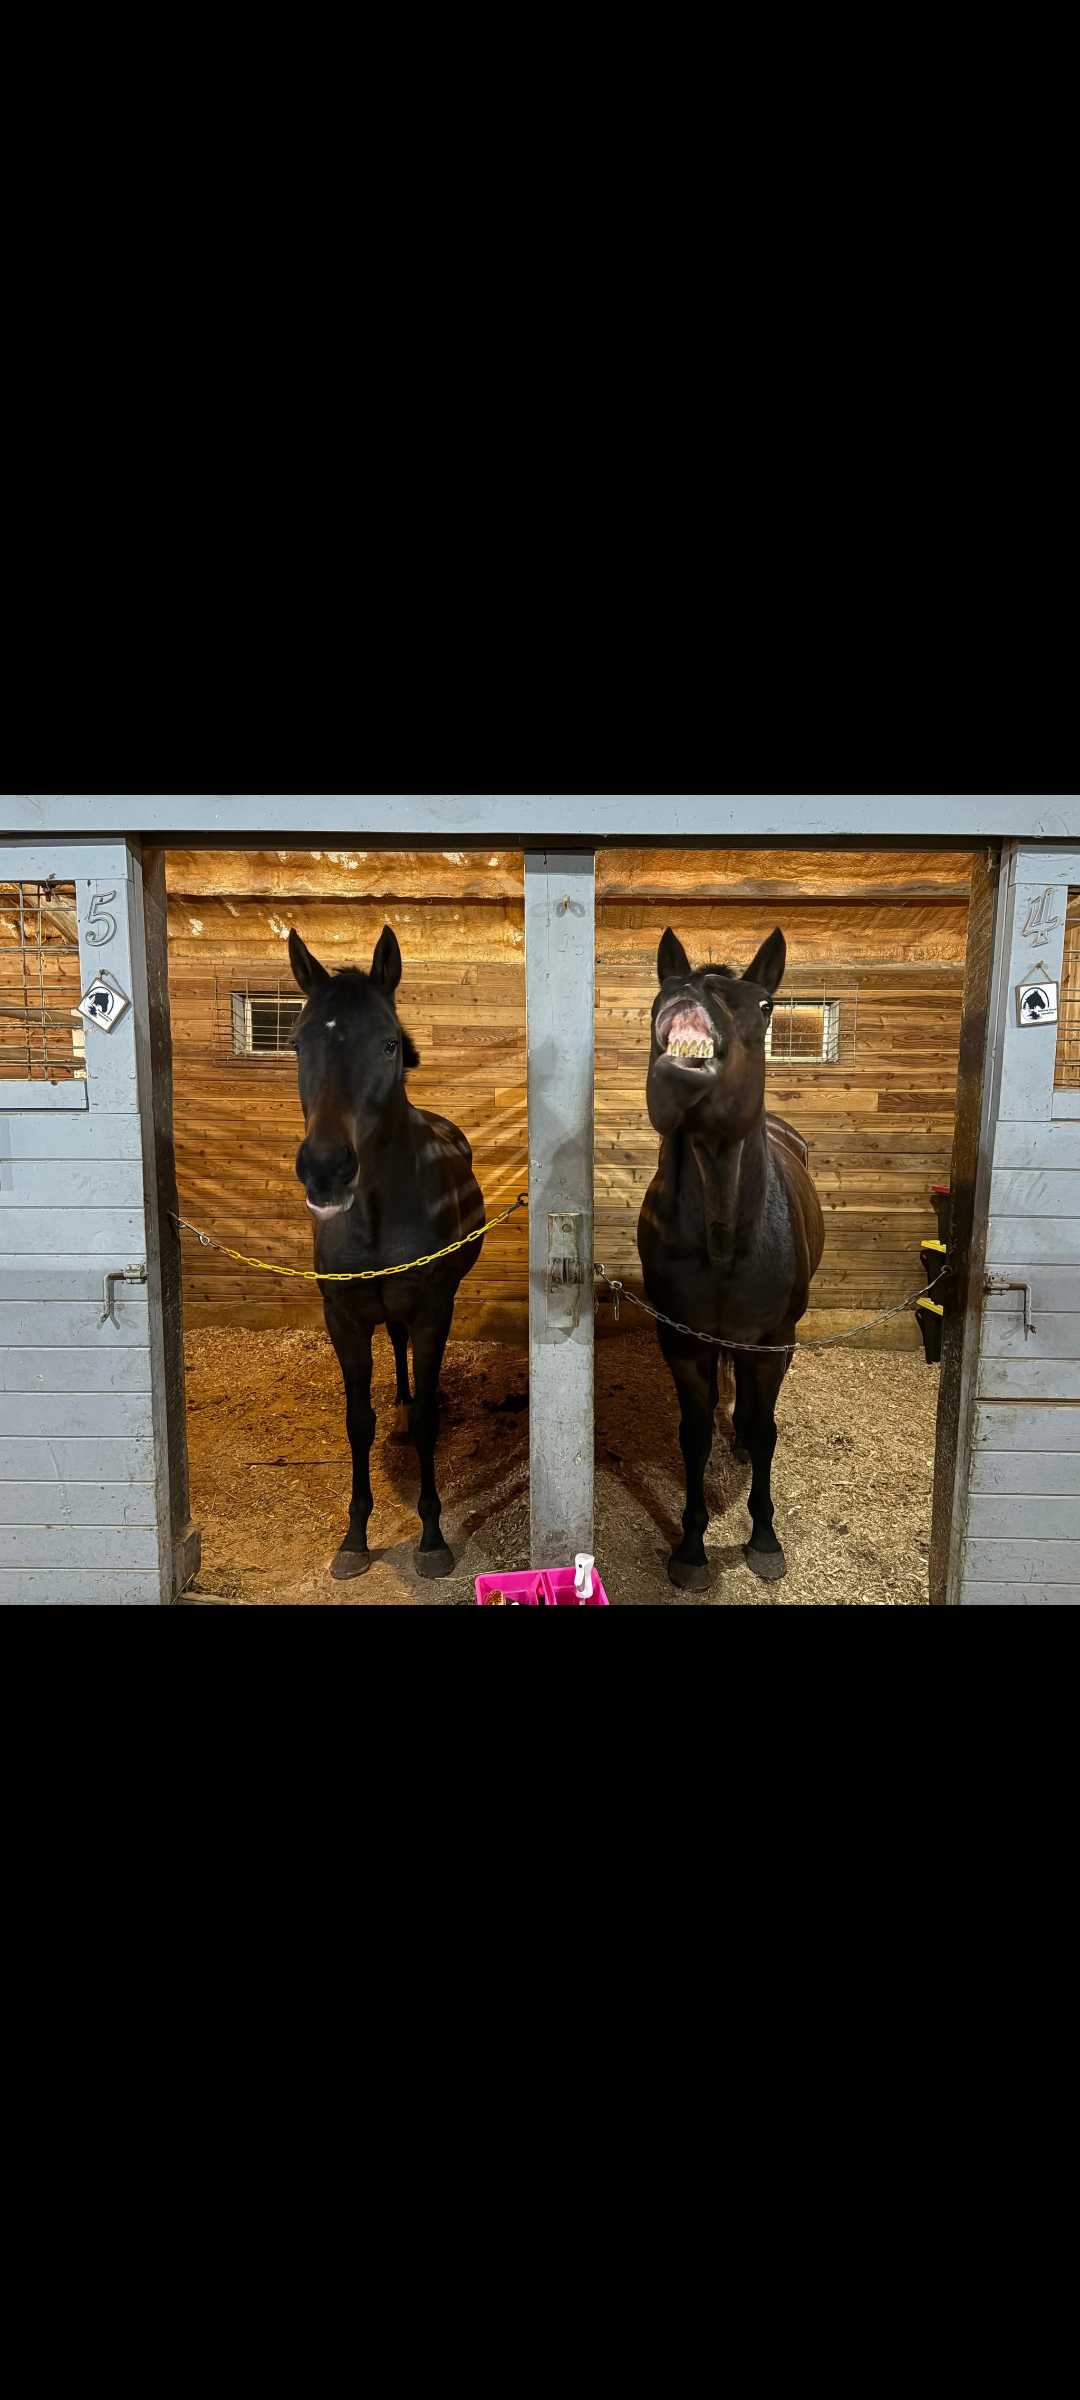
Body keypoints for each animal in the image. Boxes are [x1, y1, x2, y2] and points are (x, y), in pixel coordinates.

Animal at [288, 923, 485, 1582]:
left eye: (390, 1044)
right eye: (296, 1044)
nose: (326, 1168)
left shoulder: (432, 1311)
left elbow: (428, 1419)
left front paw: (432, 1536)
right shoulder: (344, 1319)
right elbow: (357, 1422)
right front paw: (354, 1538)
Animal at [636, 926, 824, 1591]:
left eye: (765, 1005)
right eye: (664, 987)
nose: (689, 990)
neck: (724, 1236)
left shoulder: (772, 1341)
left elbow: (767, 1432)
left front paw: (764, 1538)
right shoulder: (683, 1342)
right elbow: (693, 1437)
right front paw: (692, 1547)